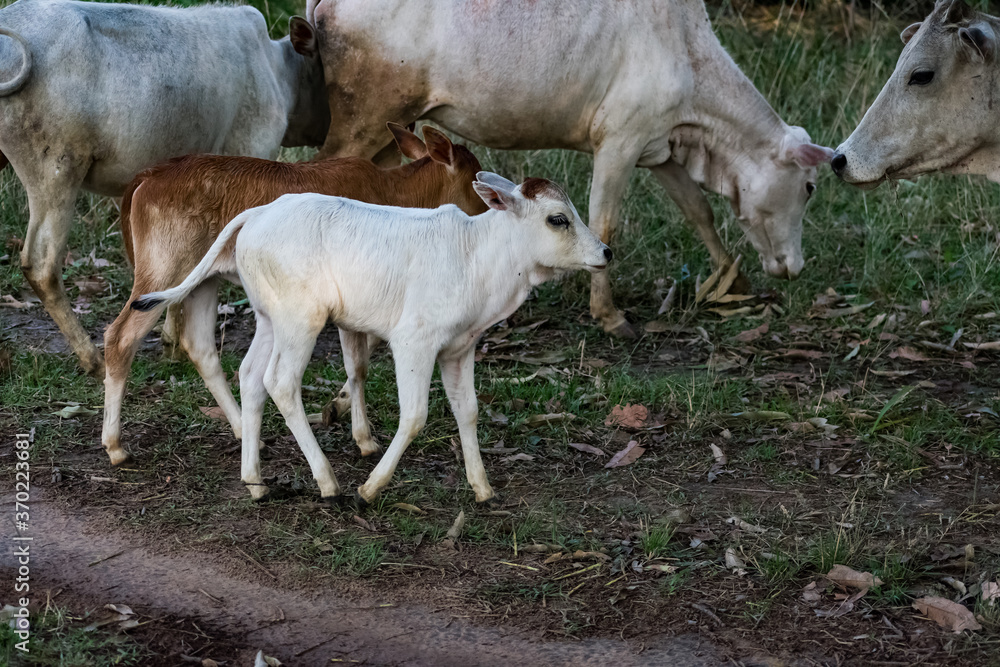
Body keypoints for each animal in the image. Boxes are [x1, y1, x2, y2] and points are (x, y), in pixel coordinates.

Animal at [101, 123, 486, 467]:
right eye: (477, 181)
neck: (395, 193)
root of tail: (150, 174)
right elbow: (358, 363)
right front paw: (362, 437)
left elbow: (358, 367)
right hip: (163, 271)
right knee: (121, 337)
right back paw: (115, 445)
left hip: (201, 281)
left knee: (201, 347)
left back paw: (244, 430)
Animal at [131, 174, 611, 505]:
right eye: (558, 219)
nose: (606, 252)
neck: (476, 254)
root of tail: (260, 213)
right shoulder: (414, 342)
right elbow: (415, 416)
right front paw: (371, 487)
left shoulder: (460, 349)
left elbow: (469, 412)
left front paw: (483, 487)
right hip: (301, 321)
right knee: (280, 384)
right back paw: (328, 482)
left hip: (272, 320)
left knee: (251, 378)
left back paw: (256, 482)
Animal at [305, 0, 833, 337]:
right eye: (809, 186)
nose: (793, 266)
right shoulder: (619, 140)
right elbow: (605, 224)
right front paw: (610, 315)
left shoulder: (658, 145)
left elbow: (698, 211)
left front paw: (733, 282)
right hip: (363, 115)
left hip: (393, 126)